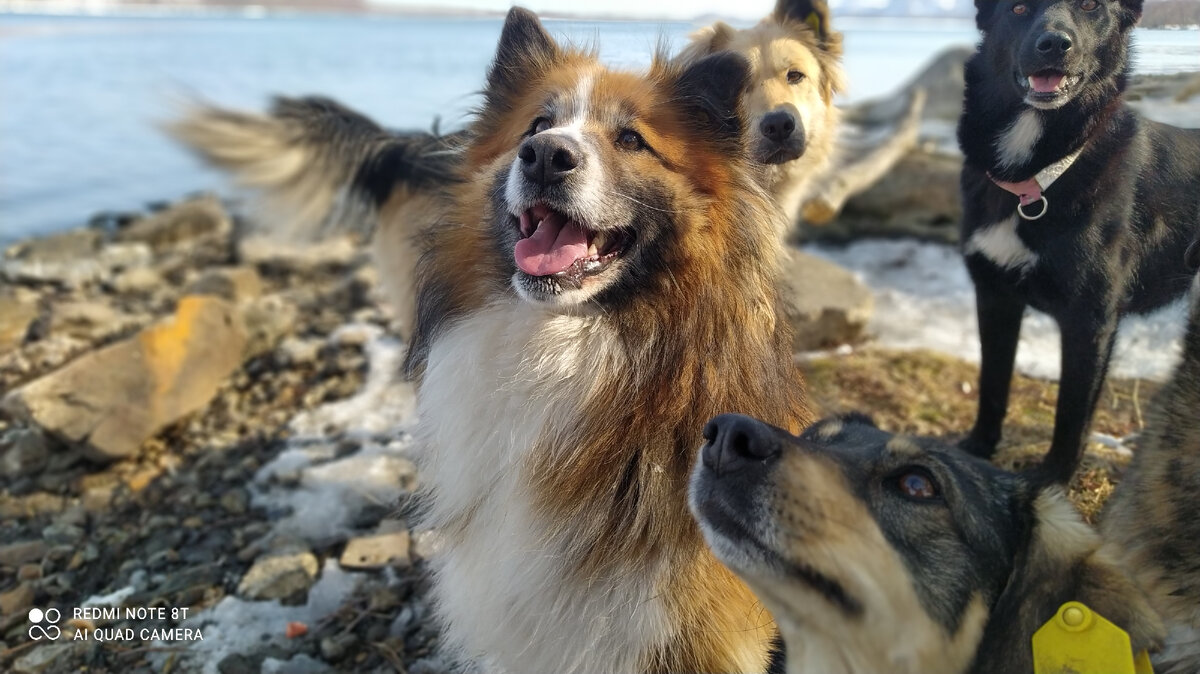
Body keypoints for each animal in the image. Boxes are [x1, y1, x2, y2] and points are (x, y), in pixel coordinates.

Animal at [955, 0, 1200, 482]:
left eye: (1089, 6)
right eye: (1017, 8)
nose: (1054, 44)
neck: (1037, 180)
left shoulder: (1091, 321)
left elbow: (1071, 415)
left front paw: (1051, 482)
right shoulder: (994, 297)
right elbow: (993, 384)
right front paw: (978, 450)